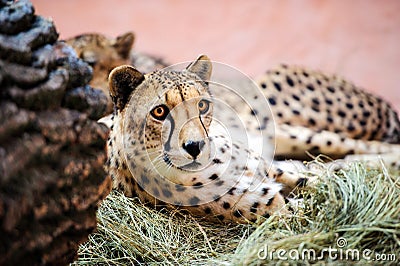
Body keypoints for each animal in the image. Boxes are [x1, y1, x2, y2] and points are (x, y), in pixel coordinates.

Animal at [104, 55, 400, 223]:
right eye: (160, 112)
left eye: (202, 106)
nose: (195, 146)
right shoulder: (276, 208)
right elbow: (314, 202)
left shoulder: (272, 170)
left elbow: (312, 181)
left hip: (297, 135)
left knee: (360, 148)